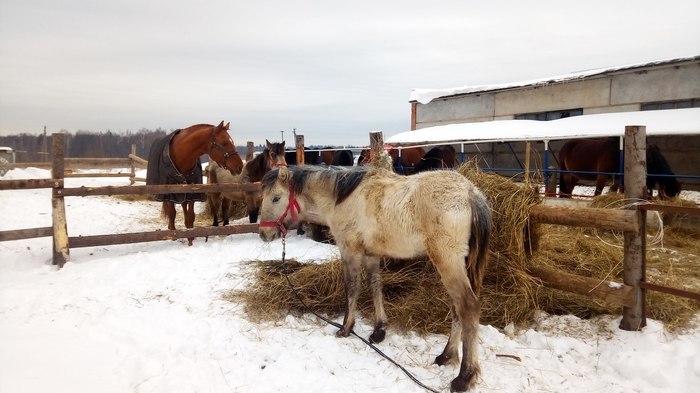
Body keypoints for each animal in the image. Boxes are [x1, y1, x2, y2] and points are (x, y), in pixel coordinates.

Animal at [258, 164, 492, 390]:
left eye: (276, 198)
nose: (263, 234)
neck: (342, 198)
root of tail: (470, 193)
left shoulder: (350, 252)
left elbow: (352, 289)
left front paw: (346, 328)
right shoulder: (372, 255)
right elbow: (375, 286)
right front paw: (379, 330)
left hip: (448, 263)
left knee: (467, 307)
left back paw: (465, 377)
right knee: (456, 308)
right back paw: (446, 356)